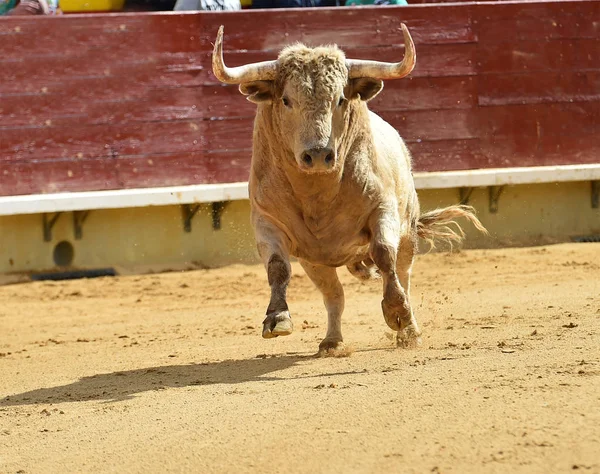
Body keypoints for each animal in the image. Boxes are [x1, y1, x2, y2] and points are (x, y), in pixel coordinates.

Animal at [213, 25, 486, 352]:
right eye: (286, 100)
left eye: (341, 99)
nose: (318, 154)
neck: (318, 194)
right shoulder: (267, 221)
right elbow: (278, 267)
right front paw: (277, 318)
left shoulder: (383, 211)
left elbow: (384, 254)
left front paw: (396, 312)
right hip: (315, 263)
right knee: (334, 295)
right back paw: (332, 342)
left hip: (407, 232)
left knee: (403, 274)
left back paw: (409, 331)